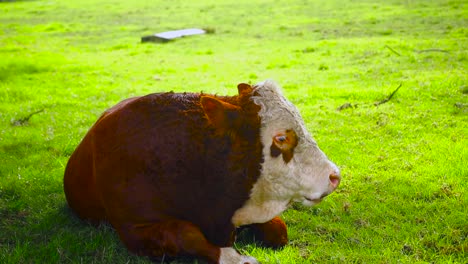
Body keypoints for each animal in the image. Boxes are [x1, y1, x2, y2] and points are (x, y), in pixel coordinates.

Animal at [63, 80, 340, 264]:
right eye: (281, 138)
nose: (334, 176)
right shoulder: (132, 227)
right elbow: (186, 234)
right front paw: (233, 257)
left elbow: (278, 230)